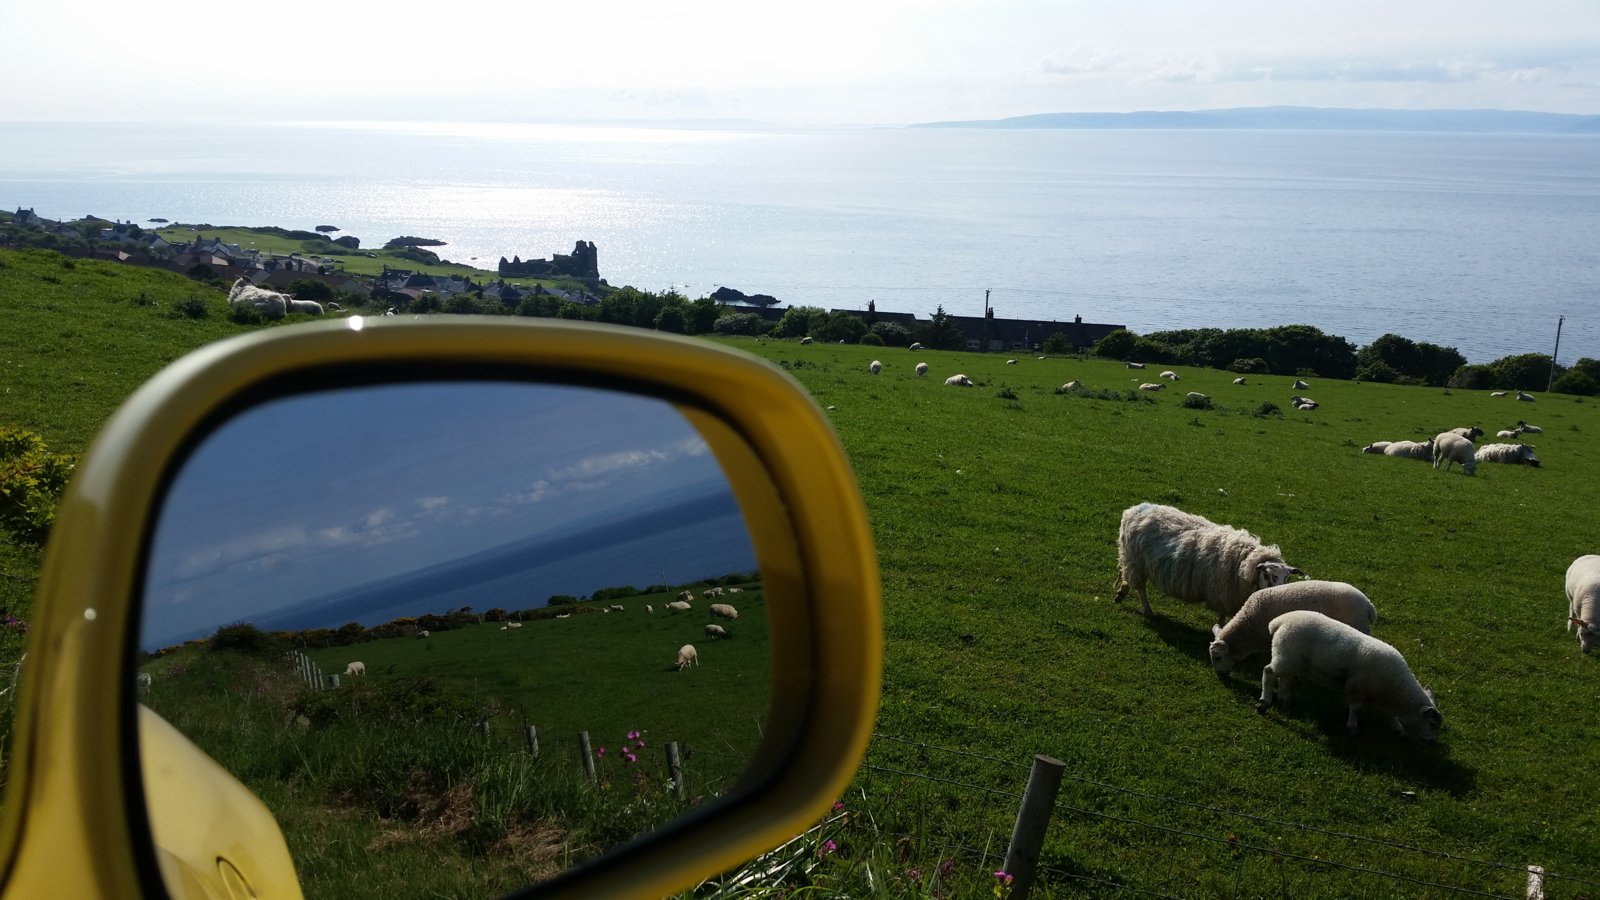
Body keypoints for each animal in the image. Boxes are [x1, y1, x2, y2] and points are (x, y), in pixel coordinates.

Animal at [1113, 496, 1299, 624]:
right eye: (1268, 575)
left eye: (1288, 578)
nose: (1281, 594)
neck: (1245, 561)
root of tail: (1134, 510)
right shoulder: (1223, 593)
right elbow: (1222, 616)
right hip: (1136, 561)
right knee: (1140, 588)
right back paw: (1147, 610)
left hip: (1132, 561)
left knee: (1129, 579)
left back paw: (1121, 594)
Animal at [1254, 605, 1446, 739]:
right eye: (1431, 724)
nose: (1432, 742)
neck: (1396, 688)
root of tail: (1279, 621)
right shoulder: (1356, 687)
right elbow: (1355, 708)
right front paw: (1352, 727)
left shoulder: (1383, 694)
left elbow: (1390, 713)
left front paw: (1398, 729)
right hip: (1286, 657)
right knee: (1268, 672)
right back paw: (1264, 702)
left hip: (1290, 658)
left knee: (1284, 678)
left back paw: (1284, 701)